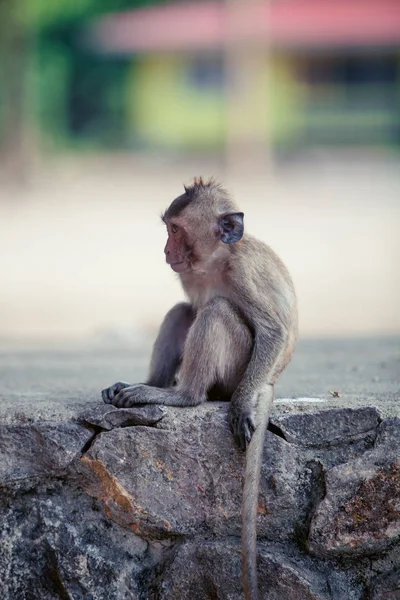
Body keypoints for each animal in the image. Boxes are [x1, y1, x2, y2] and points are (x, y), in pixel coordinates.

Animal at [101, 178, 298, 600]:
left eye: (176, 230)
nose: (165, 250)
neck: (217, 261)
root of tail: (270, 380)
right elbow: (185, 308)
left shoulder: (243, 273)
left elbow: (272, 331)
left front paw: (242, 406)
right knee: (184, 311)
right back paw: (153, 385)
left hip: (237, 373)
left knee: (216, 312)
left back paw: (182, 395)